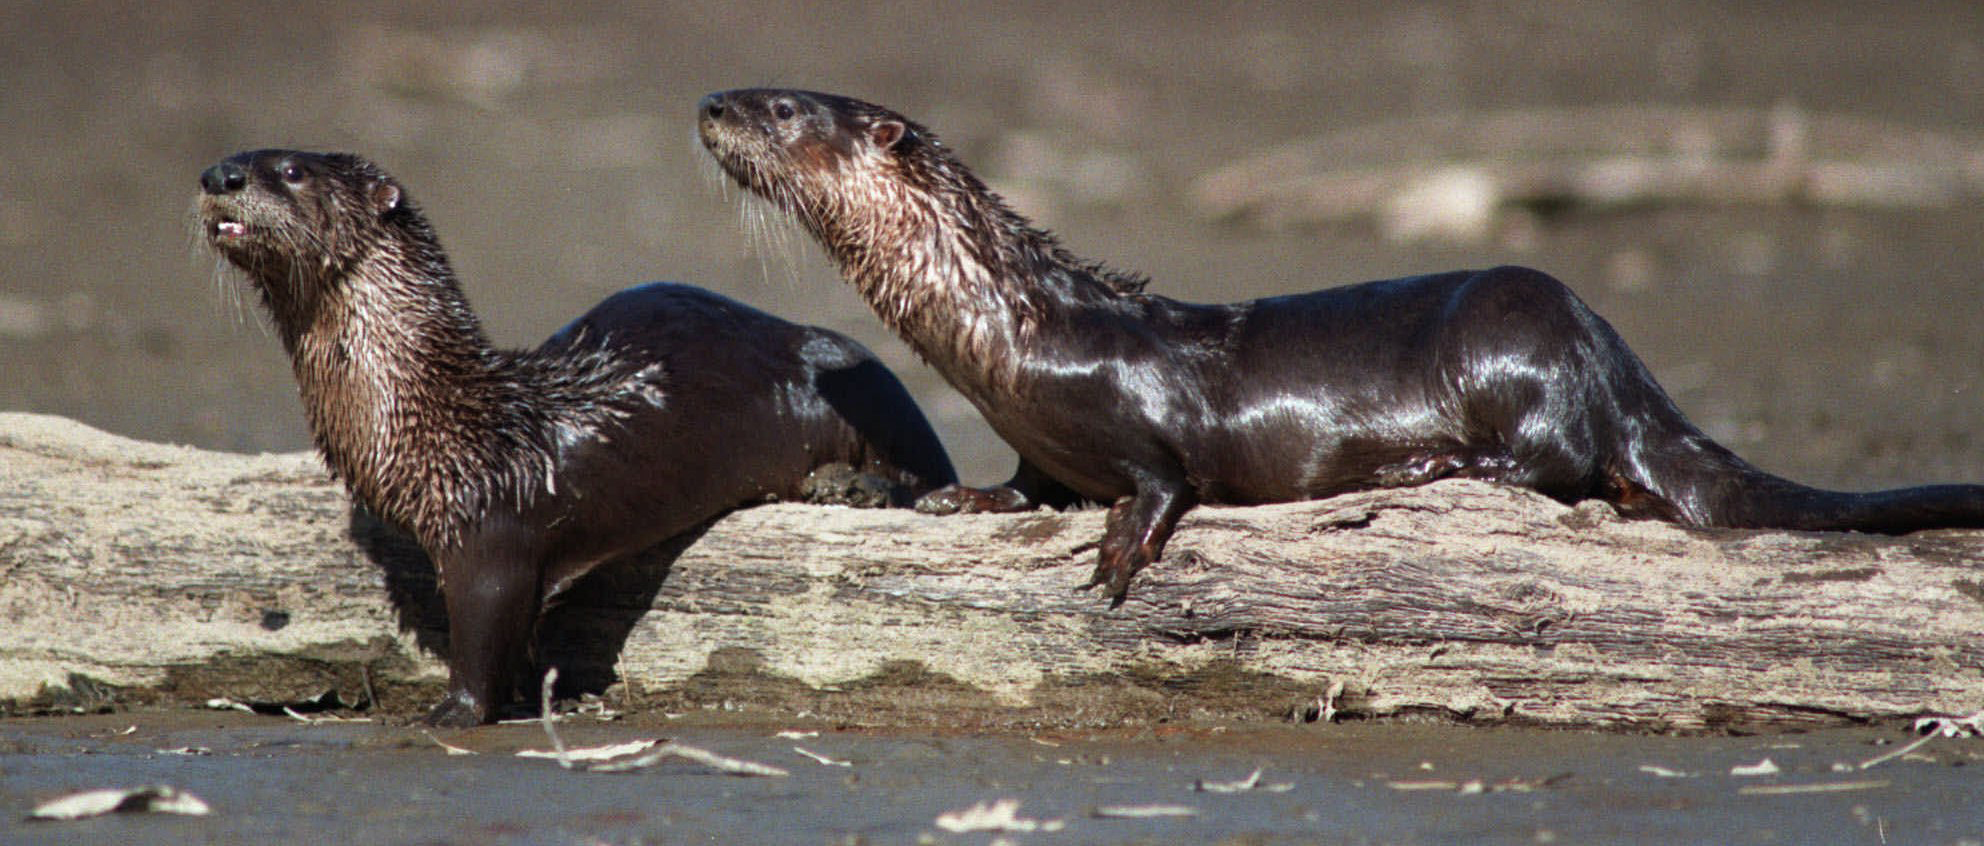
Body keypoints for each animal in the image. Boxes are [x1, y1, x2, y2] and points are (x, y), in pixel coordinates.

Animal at [198, 149, 959, 724]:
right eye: (242, 157)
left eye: (291, 171)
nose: (219, 176)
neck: (437, 419)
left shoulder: (493, 533)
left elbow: (485, 630)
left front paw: (454, 712)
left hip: (867, 379)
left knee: (930, 476)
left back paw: (851, 485)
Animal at [696, 87, 1984, 604]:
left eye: (782, 108)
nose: (711, 103)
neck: (1009, 334)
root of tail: (1610, 346)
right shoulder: (1032, 435)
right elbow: (1029, 484)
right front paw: (969, 500)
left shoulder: (1150, 412)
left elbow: (1163, 476)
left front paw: (1121, 548)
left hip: (1507, 340)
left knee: (1563, 459)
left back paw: (1435, 462)